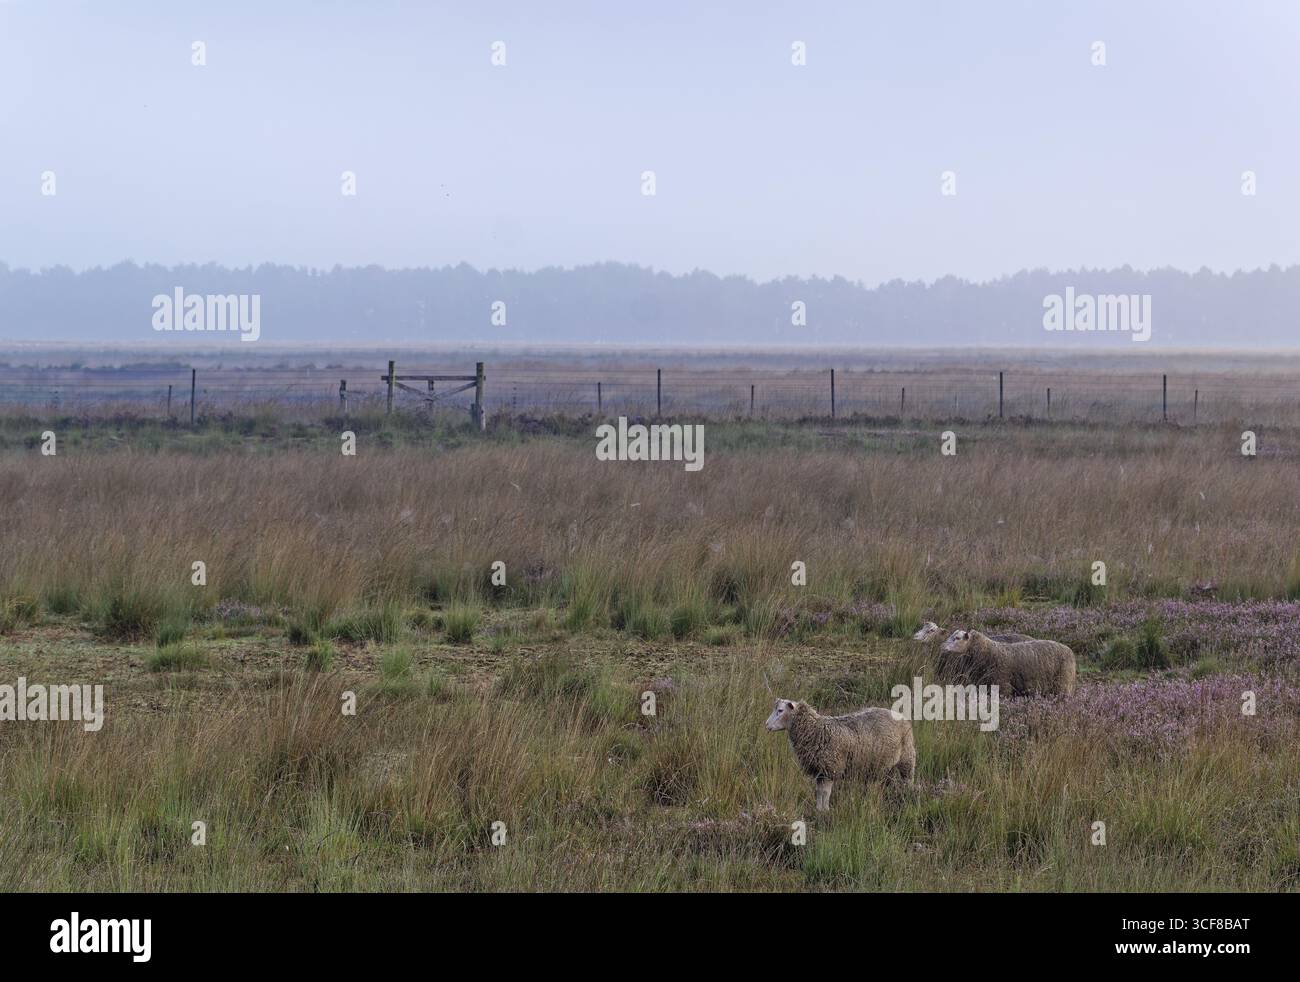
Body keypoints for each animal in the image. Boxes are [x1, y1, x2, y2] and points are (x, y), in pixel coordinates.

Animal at [765, 698, 915, 811]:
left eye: (780, 710)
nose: (766, 725)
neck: (815, 730)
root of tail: (900, 716)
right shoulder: (820, 771)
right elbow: (819, 792)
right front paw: (819, 809)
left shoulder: (830, 768)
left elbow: (825, 793)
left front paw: (825, 810)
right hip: (886, 765)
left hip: (907, 758)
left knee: (907, 780)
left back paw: (907, 797)